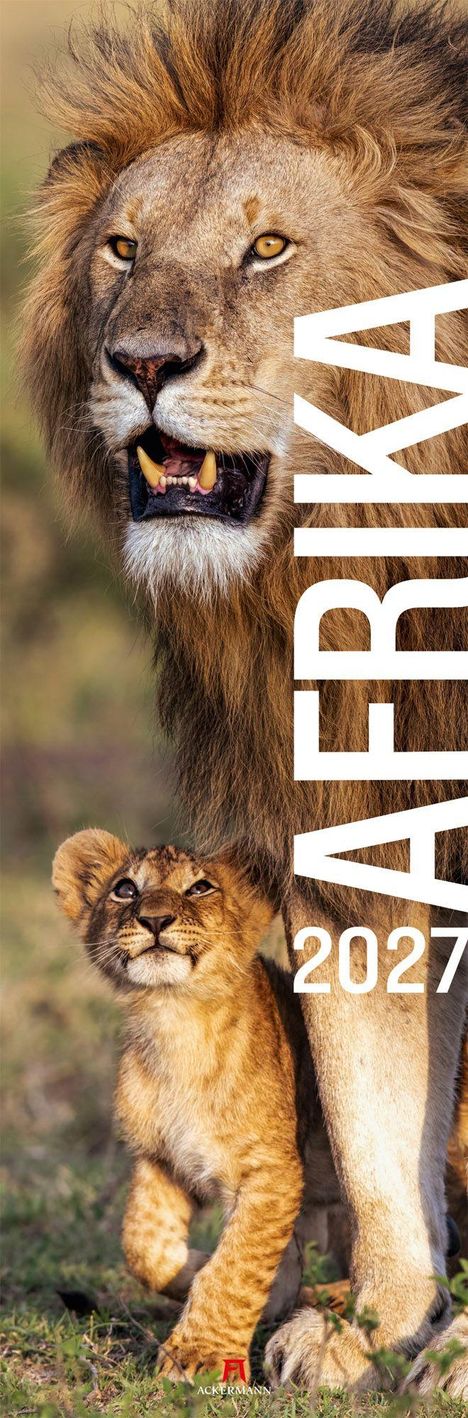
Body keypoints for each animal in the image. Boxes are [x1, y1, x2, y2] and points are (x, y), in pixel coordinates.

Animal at [24, 0, 468, 1394]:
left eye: (267, 247)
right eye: (123, 247)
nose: (141, 360)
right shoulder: (343, 803)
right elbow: (369, 1094)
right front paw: (376, 1319)